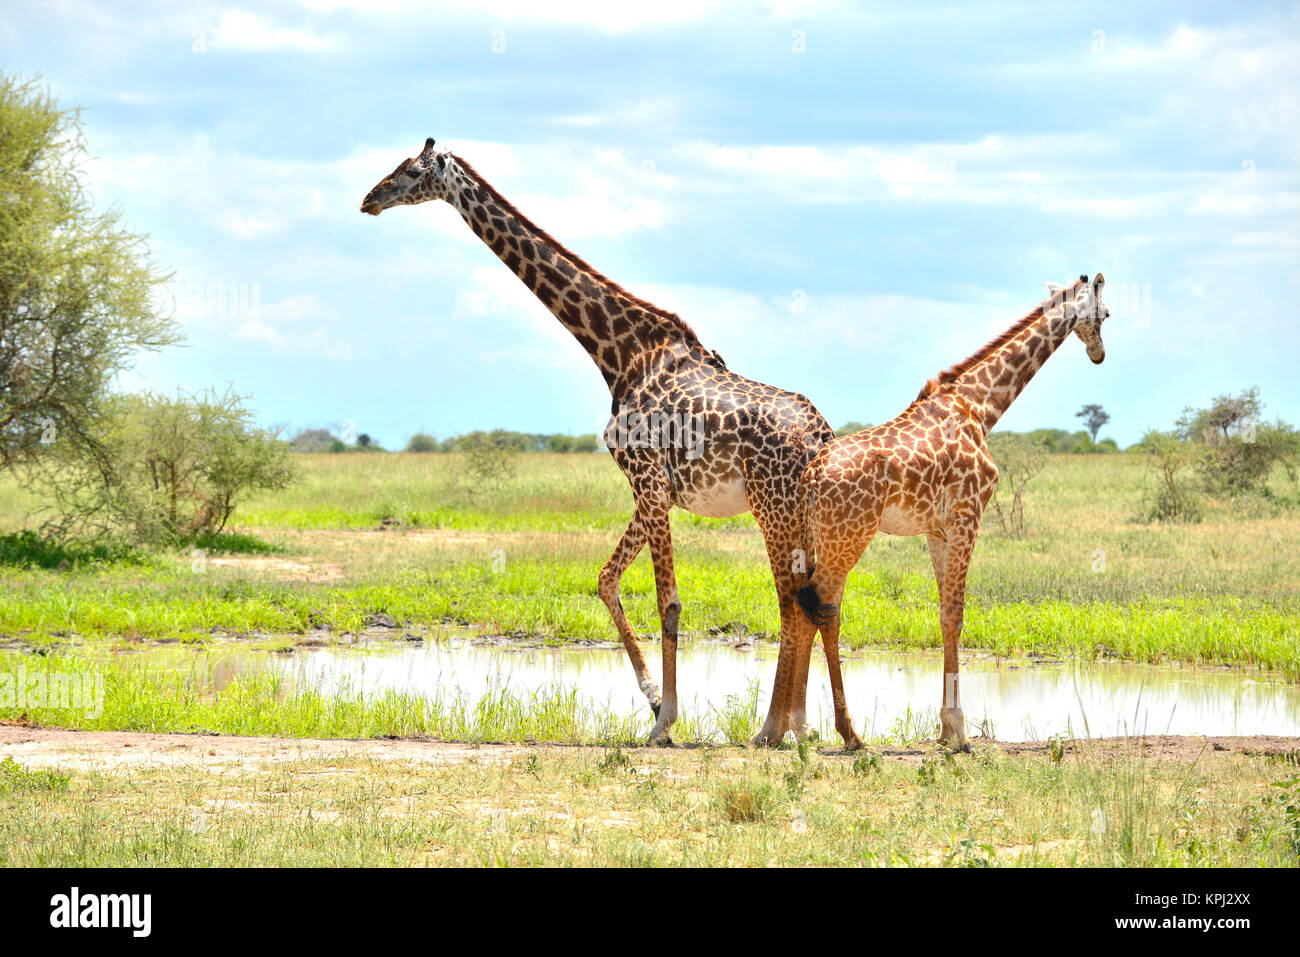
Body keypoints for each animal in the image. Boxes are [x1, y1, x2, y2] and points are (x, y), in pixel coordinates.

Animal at [364, 138, 832, 743]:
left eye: (409, 171)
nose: (369, 199)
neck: (618, 354)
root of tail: (821, 434)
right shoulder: (653, 491)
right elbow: (607, 581)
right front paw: (654, 702)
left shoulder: (648, 480)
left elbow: (668, 602)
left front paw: (665, 721)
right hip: (794, 510)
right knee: (807, 600)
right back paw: (797, 726)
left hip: (770, 505)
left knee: (789, 602)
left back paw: (773, 727)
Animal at [759, 273, 1112, 748]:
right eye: (1106, 313)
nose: (1099, 354)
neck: (980, 406)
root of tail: (812, 475)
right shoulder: (968, 517)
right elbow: (958, 615)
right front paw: (959, 733)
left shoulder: (937, 531)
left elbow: (945, 616)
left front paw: (947, 730)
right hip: (850, 537)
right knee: (824, 608)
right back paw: (849, 733)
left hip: (818, 537)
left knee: (805, 606)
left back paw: (791, 728)